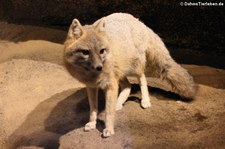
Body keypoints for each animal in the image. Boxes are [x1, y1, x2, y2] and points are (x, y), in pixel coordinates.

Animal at [63, 12, 197, 137]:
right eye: (86, 52)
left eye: (101, 51)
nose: (99, 67)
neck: (91, 75)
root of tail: (138, 21)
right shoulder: (91, 86)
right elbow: (93, 109)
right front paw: (92, 123)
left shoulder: (111, 84)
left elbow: (109, 112)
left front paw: (109, 129)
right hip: (120, 72)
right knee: (128, 86)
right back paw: (118, 103)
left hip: (134, 68)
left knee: (142, 79)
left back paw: (145, 100)